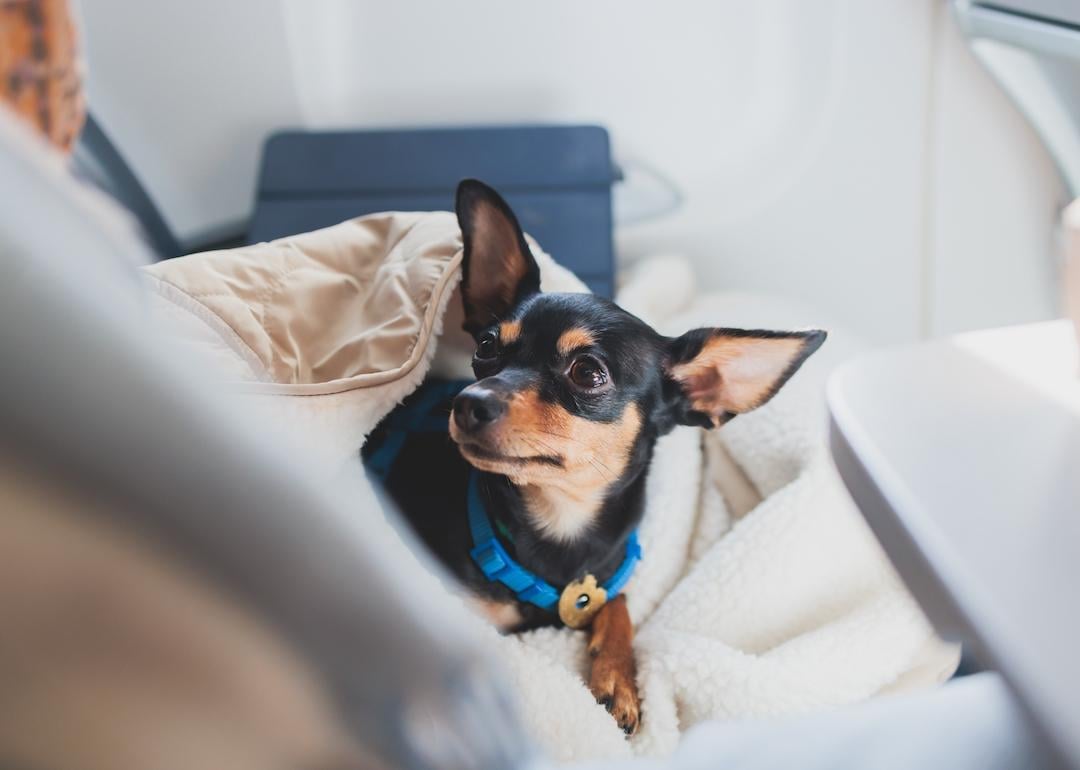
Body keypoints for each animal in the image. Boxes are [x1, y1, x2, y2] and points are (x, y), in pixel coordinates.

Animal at [365, 177, 825, 730]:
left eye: (587, 373)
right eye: (486, 348)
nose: (467, 402)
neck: (563, 523)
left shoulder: (604, 580)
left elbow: (618, 604)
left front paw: (617, 676)